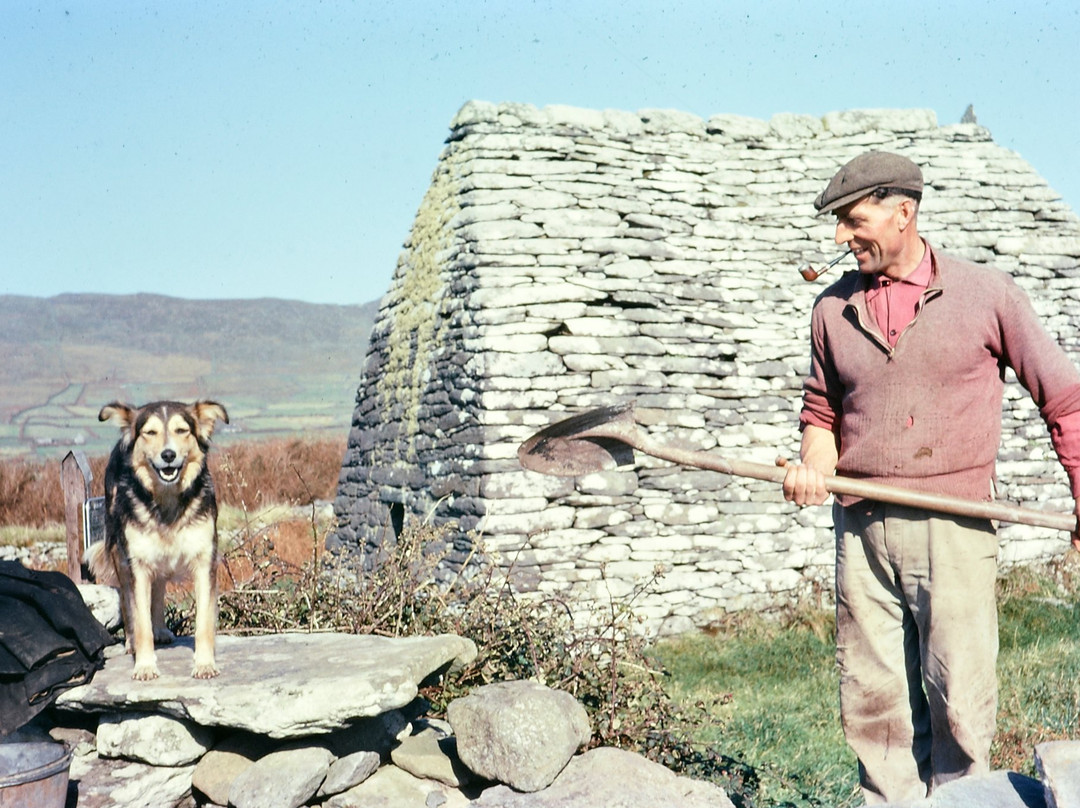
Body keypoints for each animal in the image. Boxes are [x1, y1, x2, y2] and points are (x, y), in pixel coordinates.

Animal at [89, 401, 230, 678]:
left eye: (182, 430)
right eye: (150, 433)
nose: (168, 455)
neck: (167, 500)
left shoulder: (205, 561)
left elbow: (204, 622)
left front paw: (205, 664)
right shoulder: (137, 564)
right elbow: (140, 618)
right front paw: (144, 665)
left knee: (159, 587)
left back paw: (161, 630)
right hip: (120, 554)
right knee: (128, 602)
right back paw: (132, 641)